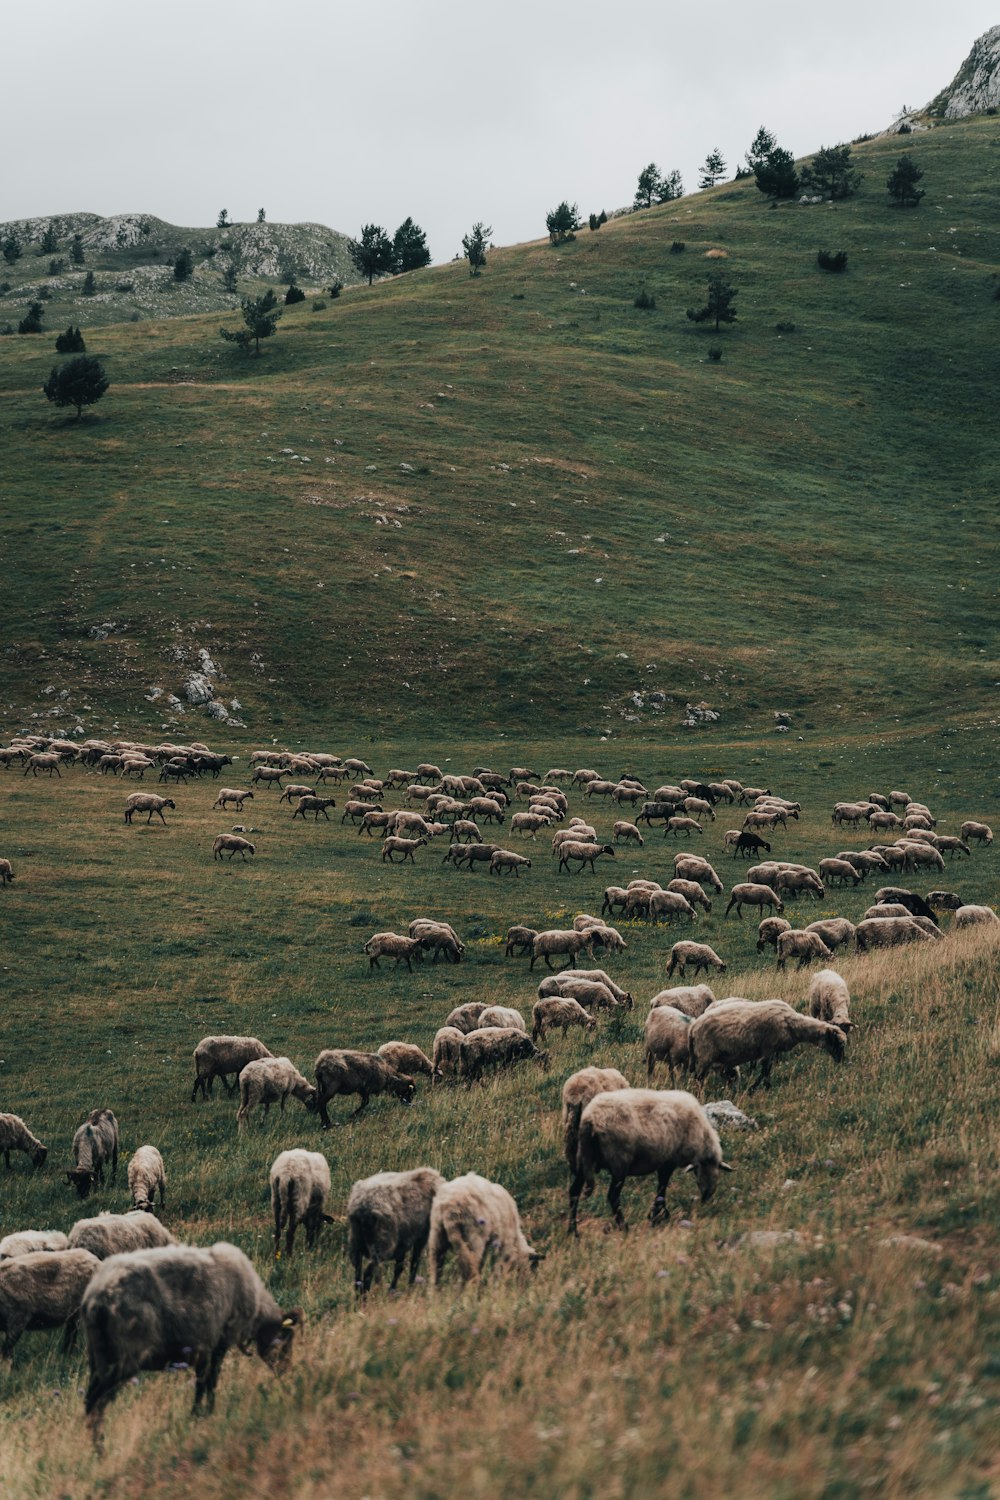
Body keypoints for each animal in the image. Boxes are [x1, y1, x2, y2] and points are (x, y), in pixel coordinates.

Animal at [82, 1236, 302, 1434]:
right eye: (286, 1343)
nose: (287, 1374)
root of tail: (95, 1296)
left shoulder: (203, 1348)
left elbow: (202, 1384)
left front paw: (197, 1415)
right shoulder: (217, 1344)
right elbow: (209, 1383)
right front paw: (205, 1414)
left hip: (99, 1355)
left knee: (90, 1403)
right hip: (124, 1357)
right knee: (95, 1404)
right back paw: (100, 1448)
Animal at [346, 1164, 443, 1296]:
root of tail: (363, 1205)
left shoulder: (403, 1240)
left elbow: (399, 1267)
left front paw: (393, 1289)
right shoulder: (420, 1236)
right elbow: (414, 1262)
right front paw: (409, 1287)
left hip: (356, 1239)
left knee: (357, 1271)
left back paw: (358, 1295)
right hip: (382, 1241)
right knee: (368, 1271)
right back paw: (365, 1296)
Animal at [566, 1092, 731, 1230]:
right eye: (713, 1171)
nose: (706, 1197)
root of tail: (590, 1119)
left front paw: (658, 1214)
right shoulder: (668, 1160)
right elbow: (662, 1187)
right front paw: (658, 1215)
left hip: (585, 1157)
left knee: (574, 1191)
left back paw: (573, 1232)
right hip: (619, 1161)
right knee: (613, 1196)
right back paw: (624, 1227)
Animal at [689, 996, 845, 1092]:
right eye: (838, 1043)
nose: (841, 1062)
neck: (794, 1025)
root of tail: (693, 1027)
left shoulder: (770, 1050)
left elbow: (766, 1071)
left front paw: (762, 1087)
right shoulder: (769, 1048)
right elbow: (765, 1071)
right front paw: (758, 1088)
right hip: (705, 1055)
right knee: (698, 1078)